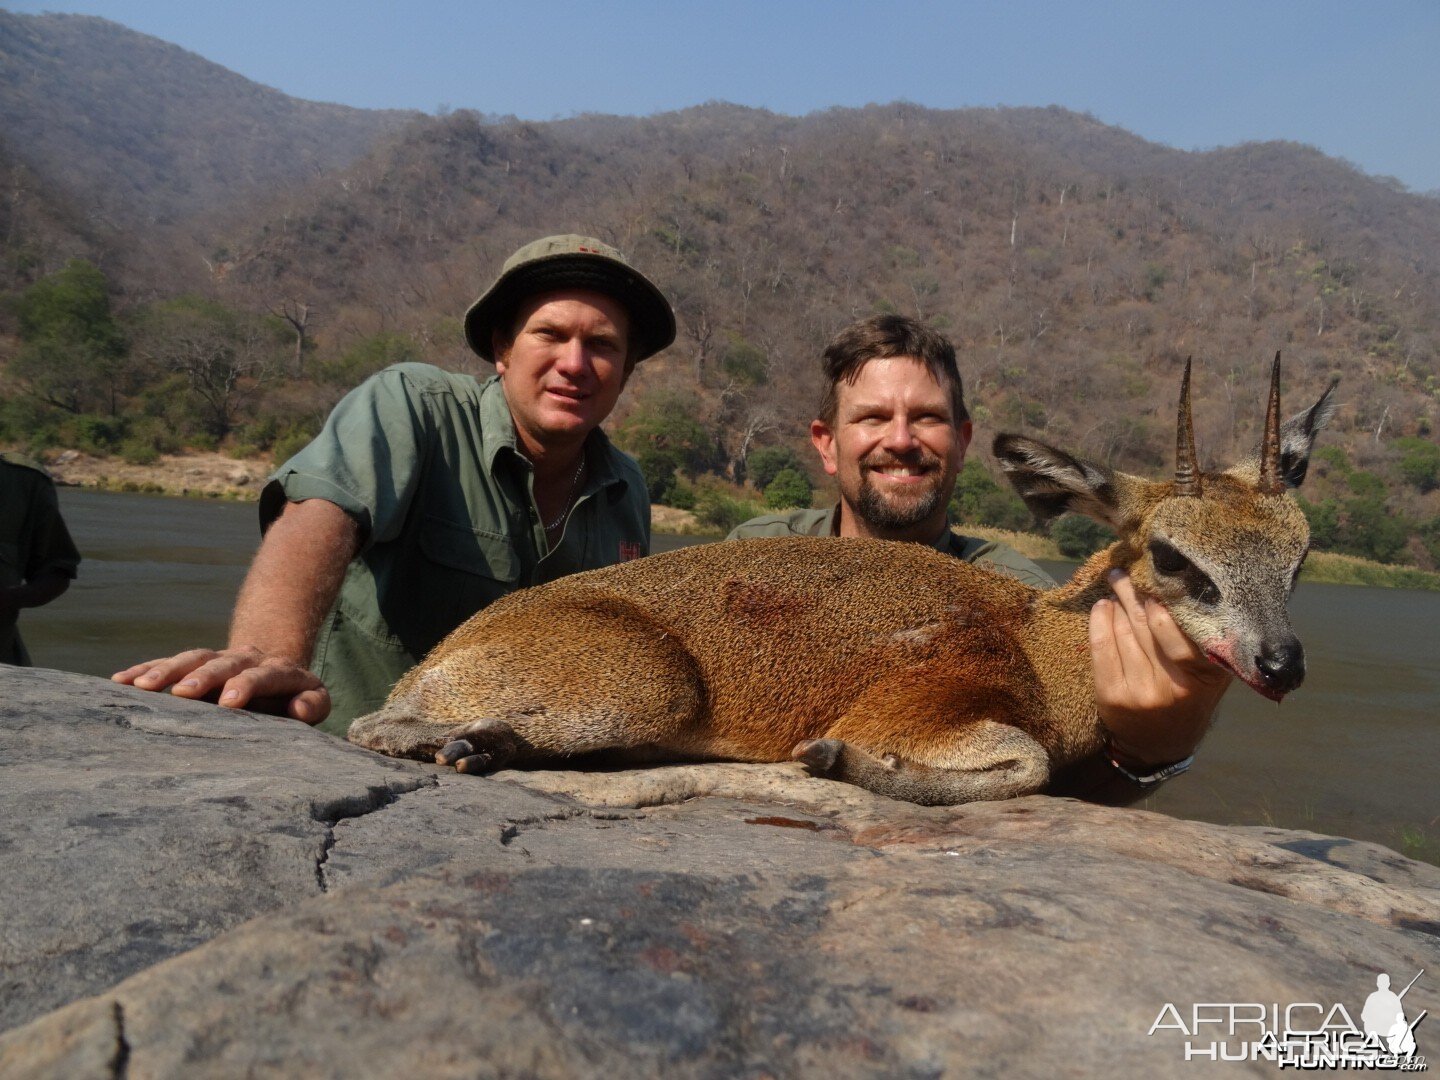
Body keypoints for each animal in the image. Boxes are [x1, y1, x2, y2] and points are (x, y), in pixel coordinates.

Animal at [348, 360, 1336, 806]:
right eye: (1173, 557)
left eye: (1300, 555)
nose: (1282, 662)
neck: (1044, 645)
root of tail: (449, 649)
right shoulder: (918, 704)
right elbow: (1025, 763)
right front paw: (841, 759)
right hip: (645, 685)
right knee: (375, 727)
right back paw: (473, 743)